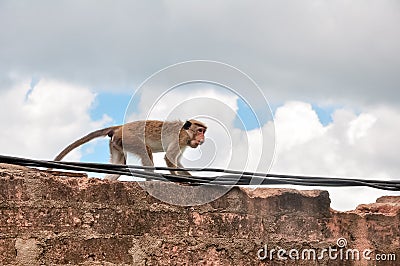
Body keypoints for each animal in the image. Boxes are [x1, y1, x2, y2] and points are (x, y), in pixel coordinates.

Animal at [53, 119, 208, 180]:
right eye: (200, 130)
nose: (203, 138)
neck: (186, 132)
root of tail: (120, 127)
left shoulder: (184, 143)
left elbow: (177, 162)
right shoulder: (181, 139)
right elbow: (168, 158)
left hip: (117, 144)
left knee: (119, 164)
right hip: (129, 138)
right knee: (146, 151)